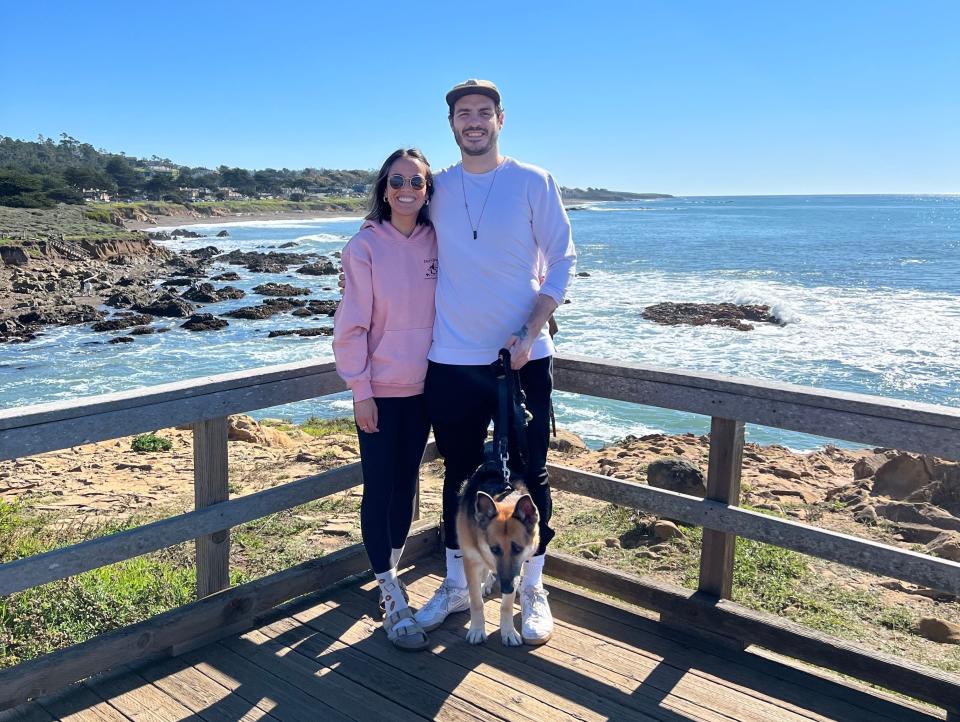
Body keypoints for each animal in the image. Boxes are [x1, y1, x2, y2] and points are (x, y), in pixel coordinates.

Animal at [458, 458, 540, 644]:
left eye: (518, 548)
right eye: (494, 549)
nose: (507, 588)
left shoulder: (516, 567)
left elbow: (506, 607)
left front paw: (508, 632)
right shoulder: (471, 562)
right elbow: (476, 602)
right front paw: (477, 629)